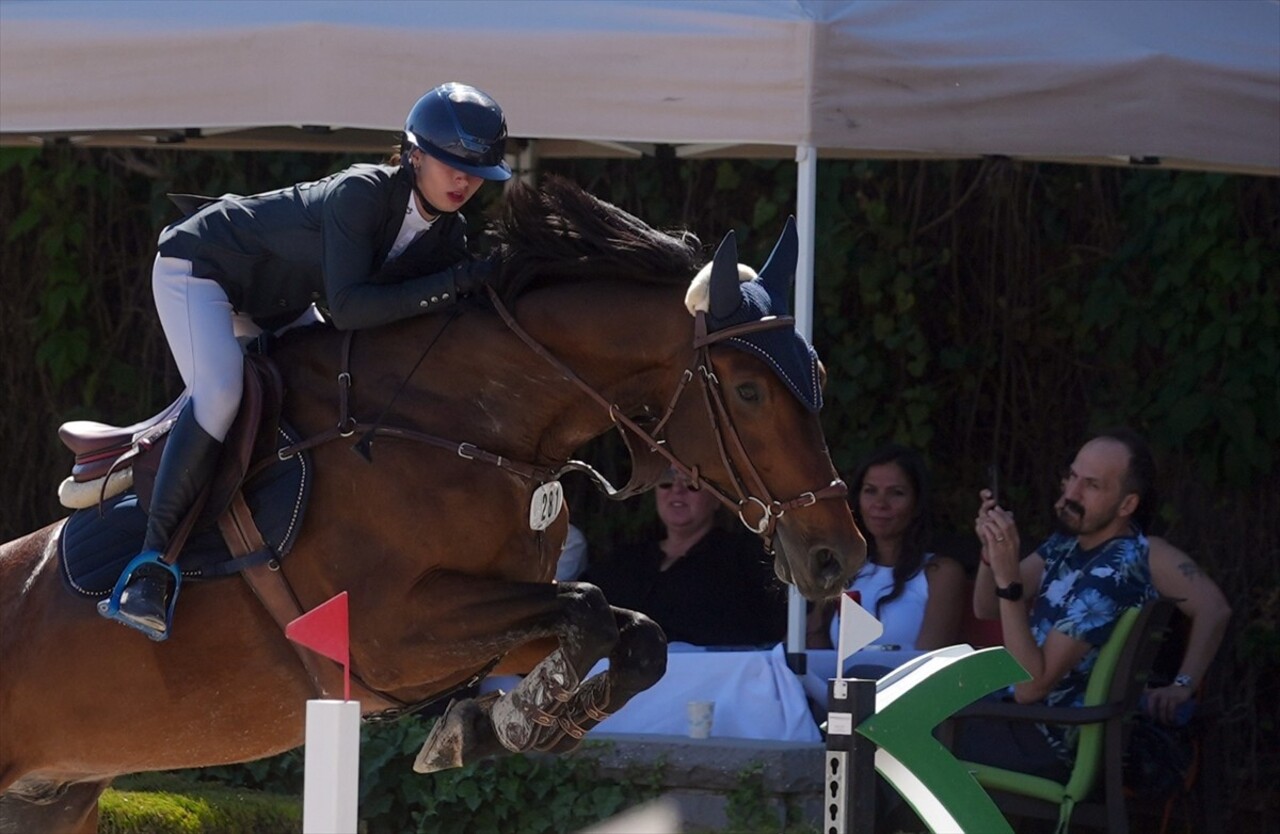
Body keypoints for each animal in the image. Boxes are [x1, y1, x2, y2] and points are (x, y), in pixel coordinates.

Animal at [0, 177, 865, 834]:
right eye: (749, 391)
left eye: (818, 374)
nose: (838, 556)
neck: (462, 426)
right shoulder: (394, 633)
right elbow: (587, 608)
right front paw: (495, 725)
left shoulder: (496, 622)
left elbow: (635, 635)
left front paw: (508, 722)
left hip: (52, 799)